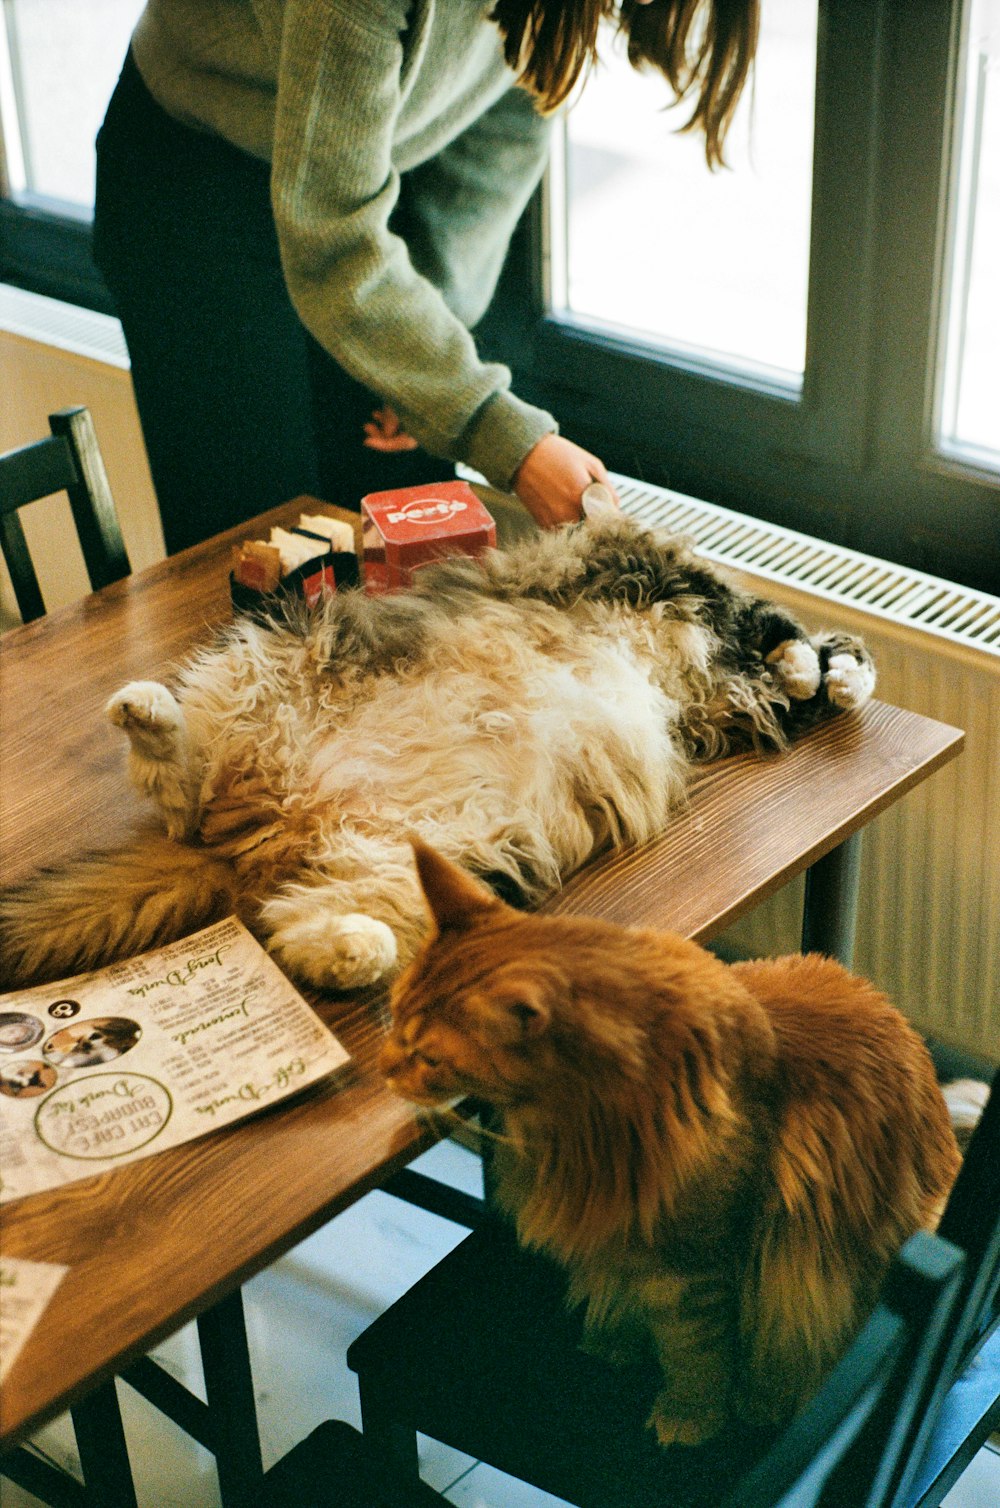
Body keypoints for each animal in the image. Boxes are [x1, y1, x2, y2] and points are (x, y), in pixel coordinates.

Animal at [0, 512, 874, 995]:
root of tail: (268, 826)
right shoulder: (668, 579)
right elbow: (773, 622)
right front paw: (814, 666)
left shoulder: (716, 706)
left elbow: (801, 660)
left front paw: (829, 676)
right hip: (273, 656)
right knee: (182, 782)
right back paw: (143, 710)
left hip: (441, 857)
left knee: (289, 921)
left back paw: (351, 952)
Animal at [380, 844, 959, 1441]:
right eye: (394, 1014)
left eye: (428, 1058)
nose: (382, 1068)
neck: (572, 1132)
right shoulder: (616, 1239)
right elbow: (622, 1298)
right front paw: (613, 1342)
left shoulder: (696, 1268)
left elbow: (695, 1354)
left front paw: (691, 1415)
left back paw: (764, 1402)